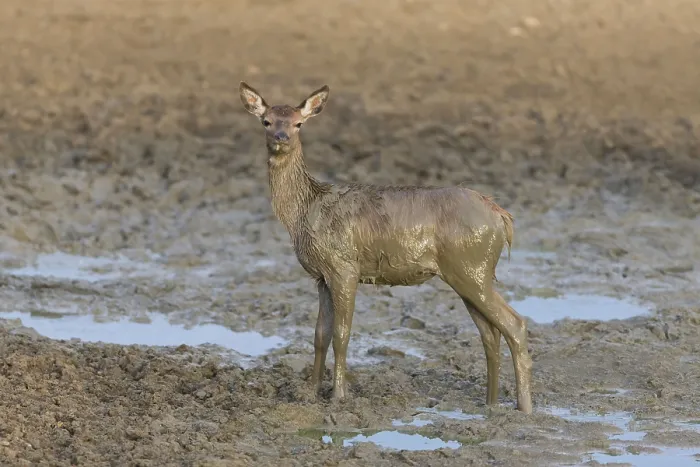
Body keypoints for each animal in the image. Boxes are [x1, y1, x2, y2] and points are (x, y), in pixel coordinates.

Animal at [239, 82, 533, 414]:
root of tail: (501, 216)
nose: (281, 137)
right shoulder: (321, 276)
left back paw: (524, 408)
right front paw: (309, 392)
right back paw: (491, 404)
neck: (303, 213)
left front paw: (339, 396)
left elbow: (341, 334)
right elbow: (319, 334)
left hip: (472, 267)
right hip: (468, 272)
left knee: (514, 324)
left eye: (298, 123)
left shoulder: (344, 267)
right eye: (267, 121)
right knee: (490, 333)